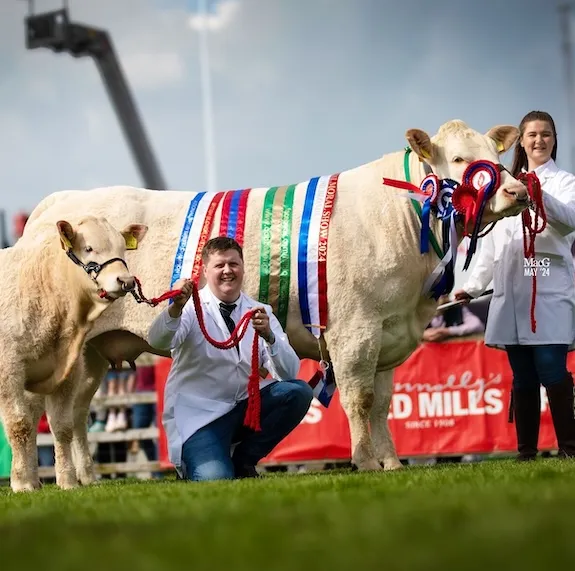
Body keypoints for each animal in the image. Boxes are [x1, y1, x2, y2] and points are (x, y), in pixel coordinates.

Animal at [1, 216, 148, 492]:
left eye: (123, 248)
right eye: (88, 248)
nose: (126, 281)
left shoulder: (68, 371)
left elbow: (62, 426)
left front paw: (67, 480)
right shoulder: (9, 369)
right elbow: (20, 424)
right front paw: (22, 482)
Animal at [21, 120, 528, 482]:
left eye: (496, 155)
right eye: (459, 158)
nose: (518, 191)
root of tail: (55, 205)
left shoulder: (388, 333)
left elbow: (383, 404)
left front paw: (391, 462)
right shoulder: (355, 330)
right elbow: (359, 399)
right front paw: (364, 461)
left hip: (91, 355)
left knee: (74, 416)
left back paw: (86, 478)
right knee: (45, 416)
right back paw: (47, 482)